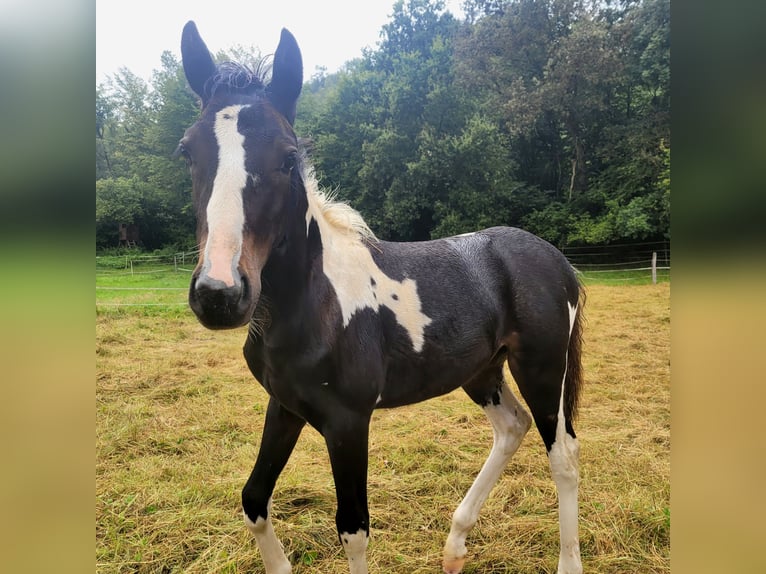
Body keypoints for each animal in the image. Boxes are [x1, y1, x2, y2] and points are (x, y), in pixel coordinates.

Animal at [180, 21, 588, 574]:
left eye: (288, 156)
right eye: (187, 151)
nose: (219, 294)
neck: (314, 307)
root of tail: (557, 260)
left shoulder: (348, 422)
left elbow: (353, 529)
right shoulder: (284, 406)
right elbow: (253, 499)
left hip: (544, 368)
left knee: (562, 458)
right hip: (482, 371)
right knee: (511, 427)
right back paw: (454, 546)